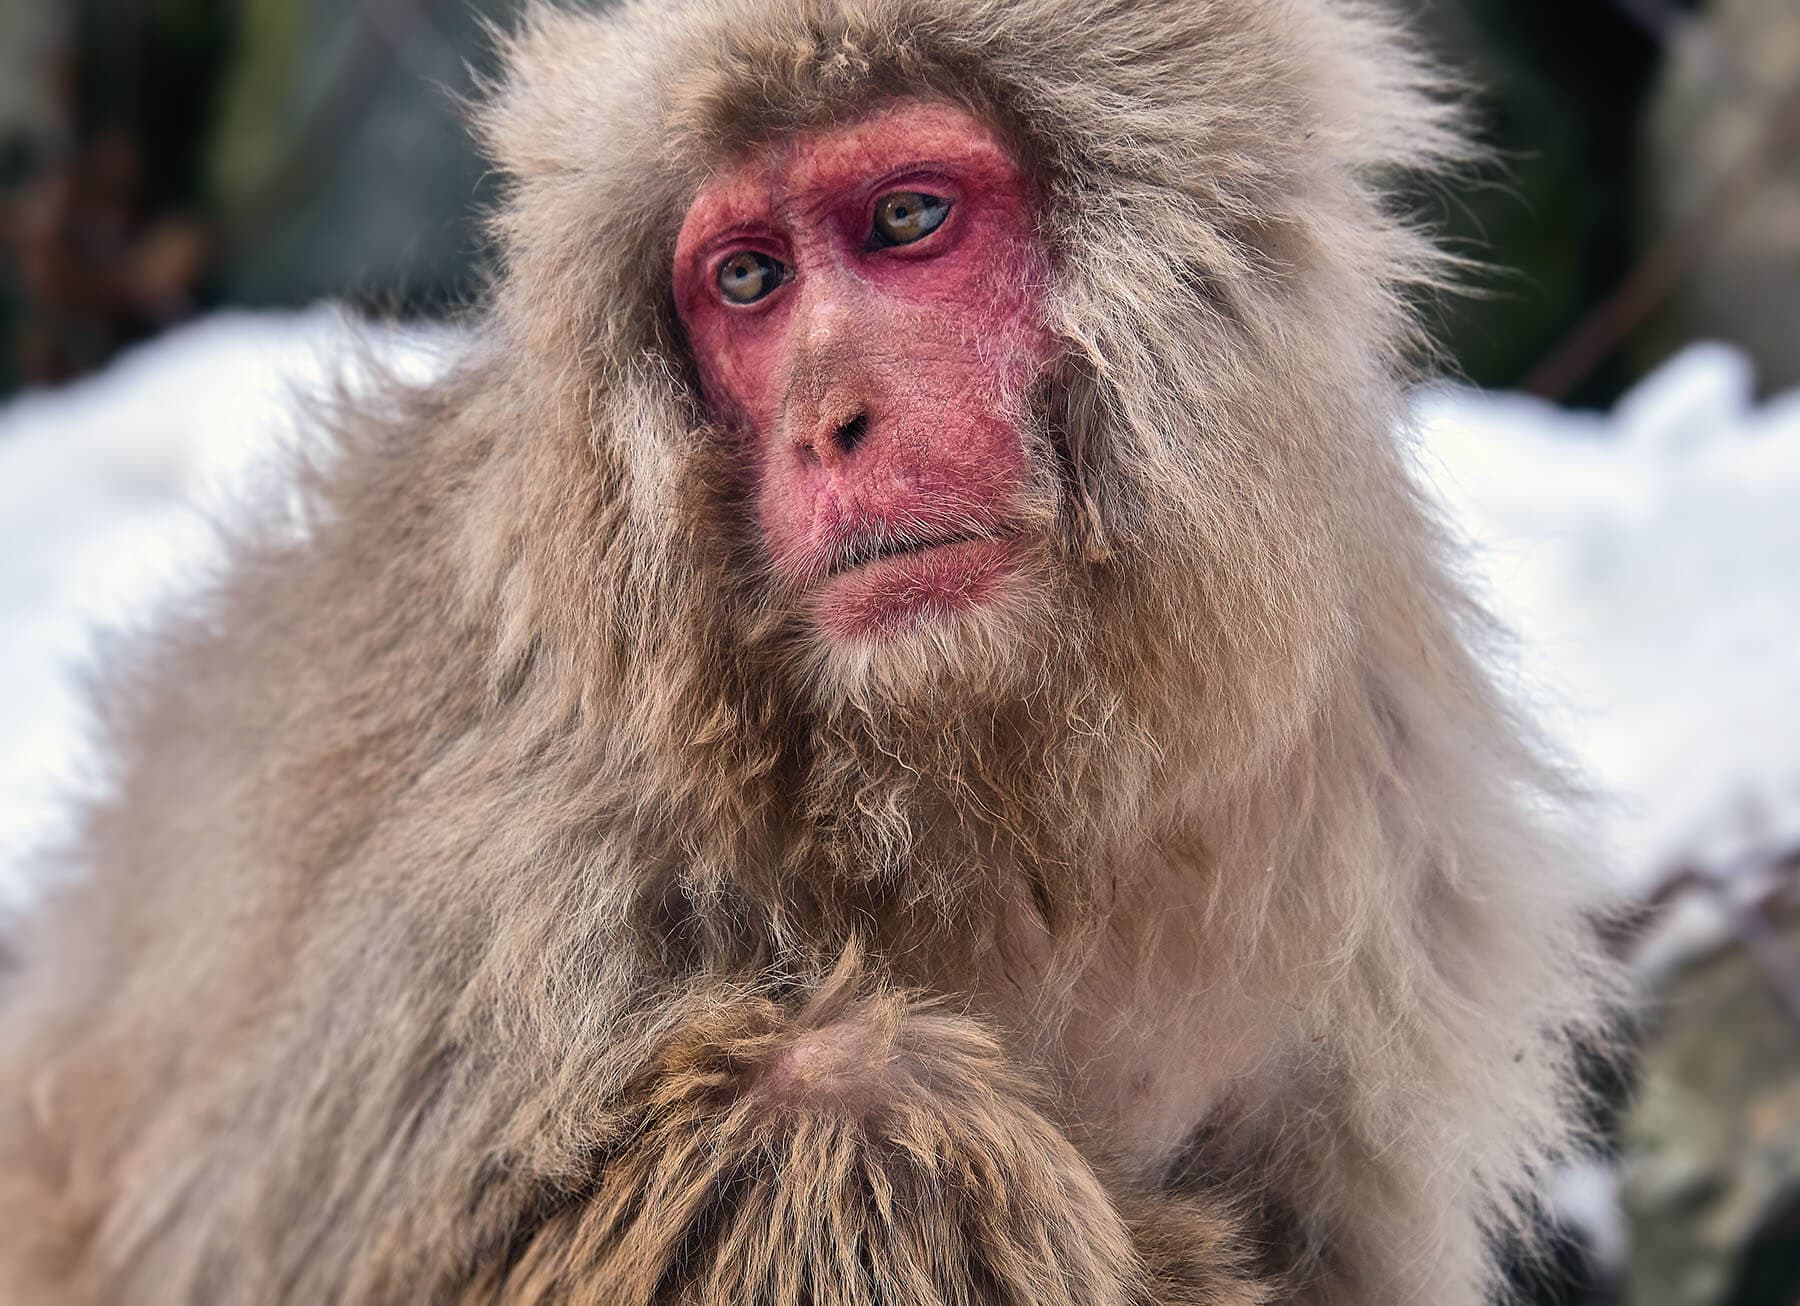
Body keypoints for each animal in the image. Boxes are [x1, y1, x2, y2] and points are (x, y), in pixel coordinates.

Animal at [0, 0, 1621, 1302]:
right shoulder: (518, 858)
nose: (831, 422)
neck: (980, 776)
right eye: (749, 281)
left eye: (906, 220)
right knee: (844, 1117)